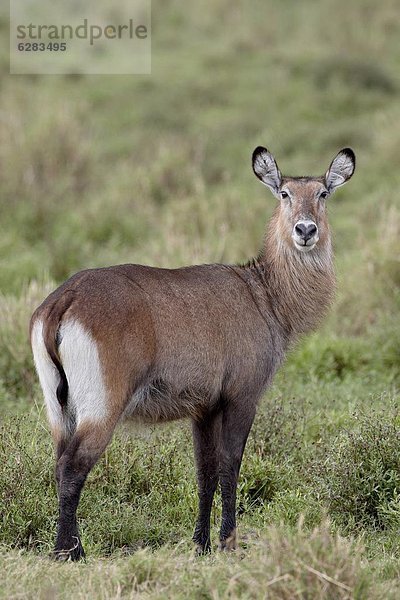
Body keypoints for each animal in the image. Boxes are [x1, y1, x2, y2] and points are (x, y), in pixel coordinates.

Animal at [30, 144, 356, 556]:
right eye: (285, 193)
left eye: (322, 193)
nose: (306, 230)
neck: (265, 294)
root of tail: (64, 299)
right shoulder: (242, 396)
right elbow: (230, 466)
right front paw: (228, 542)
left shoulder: (203, 408)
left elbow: (205, 472)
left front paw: (201, 544)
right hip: (103, 404)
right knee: (73, 467)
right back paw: (70, 552)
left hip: (59, 408)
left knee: (59, 463)